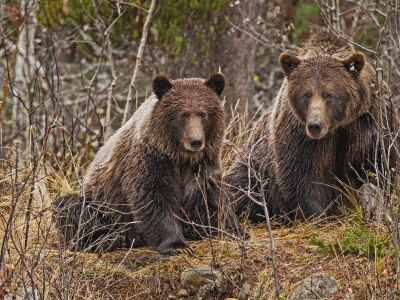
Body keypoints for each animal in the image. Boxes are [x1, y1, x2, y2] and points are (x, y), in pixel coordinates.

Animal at [54, 72, 241, 253]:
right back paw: (105, 241)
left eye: (203, 114)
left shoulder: (202, 165)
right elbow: (154, 199)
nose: (196, 141)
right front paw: (176, 245)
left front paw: (231, 228)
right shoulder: (149, 161)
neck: (180, 156)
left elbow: (211, 197)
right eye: (182, 114)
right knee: (72, 209)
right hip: (102, 202)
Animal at [223, 31, 398, 223]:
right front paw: (316, 216)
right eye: (305, 94)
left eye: (329, 94)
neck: (336, 126)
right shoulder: (298, 132)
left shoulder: (369, 121)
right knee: (240, 188)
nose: (315, 125)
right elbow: (302, 174)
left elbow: (376, 164)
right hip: (256, 167)